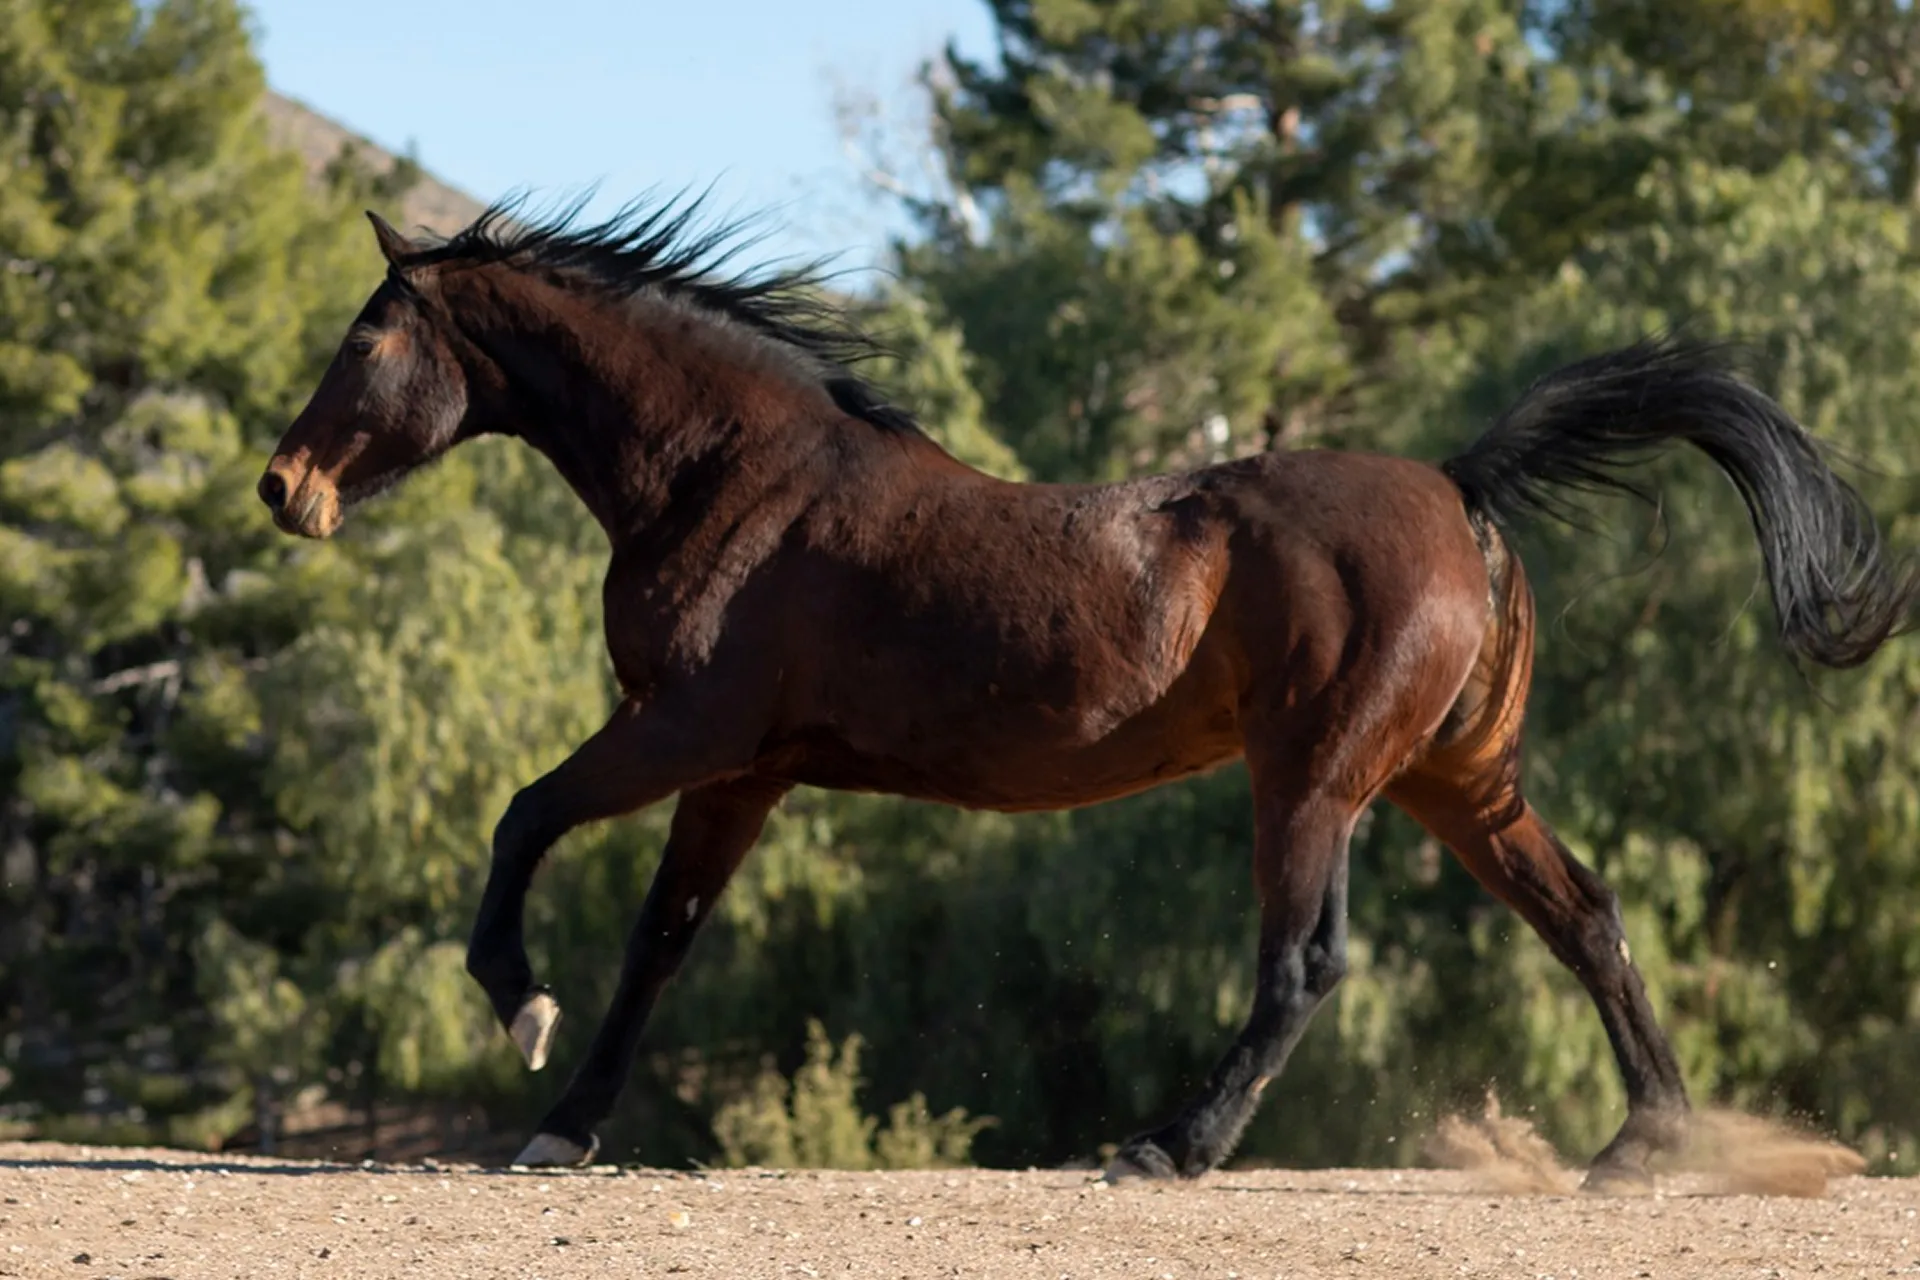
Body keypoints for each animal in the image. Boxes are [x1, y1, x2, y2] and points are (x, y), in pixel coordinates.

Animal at [258, 194, 1918, 1186]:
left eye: (366, 336)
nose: (282, 489)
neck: (735, 476)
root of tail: (1458, 486)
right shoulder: (742, 769)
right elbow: (661, 945)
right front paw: (564, 1125)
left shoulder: (683, 729)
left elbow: (522, 819)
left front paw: (518, 1010)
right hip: (1457, 785)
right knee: (1586, 916)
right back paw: (1649, 1142)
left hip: (1315, 780)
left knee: (1306, 967)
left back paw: (1168, 1148)